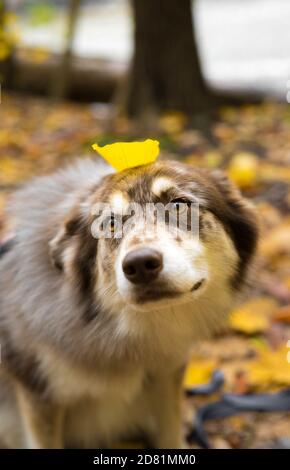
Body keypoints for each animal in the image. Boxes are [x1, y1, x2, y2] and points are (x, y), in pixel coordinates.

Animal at [0, 158, 258, 448]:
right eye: (110, 223)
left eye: (179, 204)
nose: (140, 265)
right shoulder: (37, 393)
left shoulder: (167, 373)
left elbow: (170, 430)